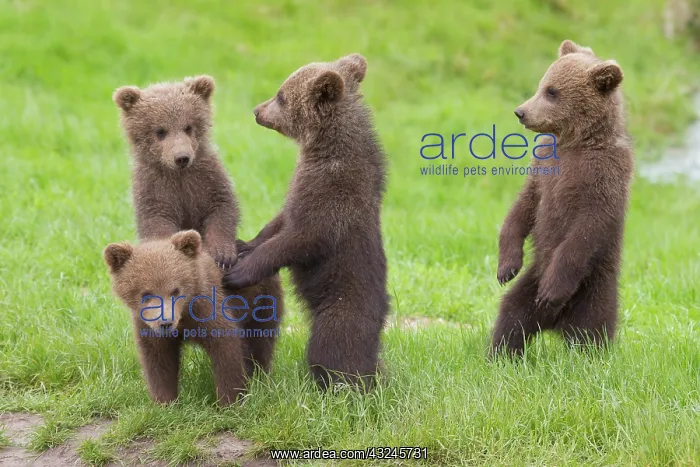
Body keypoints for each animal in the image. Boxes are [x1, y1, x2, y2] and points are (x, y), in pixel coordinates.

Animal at [113, 76, 283, 372]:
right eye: (160, 131)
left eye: (188, 126)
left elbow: (222, 208)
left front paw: (222, 255)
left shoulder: (206, 178)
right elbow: (158, 223)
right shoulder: (155, 191)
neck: (179, 176)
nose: (181, 157)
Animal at [222, 54, 389, 390]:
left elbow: (300, 238)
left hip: (342, 307)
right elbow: (278, 222)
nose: (257, 110)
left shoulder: (333, 199)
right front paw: (244, 243)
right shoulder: (300, 193)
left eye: (281, 96)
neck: (324, 149)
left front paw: (239, 272)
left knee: (333, 350)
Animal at [492, 40, 634, 356]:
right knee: (512, 315)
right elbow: (524, 207)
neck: (576, 141)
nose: (521, 112)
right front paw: (506, 266)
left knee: (590, 332)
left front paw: (552, 290)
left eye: (553, 91)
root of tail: (555, 323)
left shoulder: (603, 178)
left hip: (592, 290)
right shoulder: (543, 170)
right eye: (543, 84)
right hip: (531, 281)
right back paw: (501, 354)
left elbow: (586, 228)